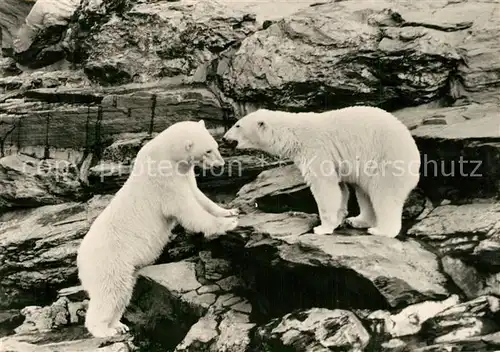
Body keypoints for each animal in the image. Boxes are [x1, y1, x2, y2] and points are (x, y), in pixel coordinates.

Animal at [77, 120, 239, 338]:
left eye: (215, 145)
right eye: (208, 150)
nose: (220, 164)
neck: (167, 155)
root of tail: (80, 260)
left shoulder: (184, 174)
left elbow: (199, 197)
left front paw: (229, 211)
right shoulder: (165, 181)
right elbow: (187, 208)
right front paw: (227, 224)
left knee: (124, 292)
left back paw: (118, 325)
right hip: (110, 262)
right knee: (111, 292)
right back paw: (105, 330)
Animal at [224, 106, 422, 238]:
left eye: (237, 125)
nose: (225, 138)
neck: (293, 134)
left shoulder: (316, 149)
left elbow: (324, 186)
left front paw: (321, 228)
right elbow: (340, 188)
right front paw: (339, 219)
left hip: (386, 161)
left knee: (384, 195)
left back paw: (381, 230)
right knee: (363, 192)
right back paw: (358, 220)